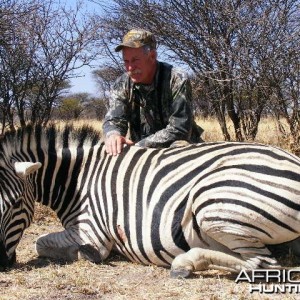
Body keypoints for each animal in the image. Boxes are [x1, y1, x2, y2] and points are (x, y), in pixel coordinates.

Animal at [0, 123, 300, 278]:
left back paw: (186, 263)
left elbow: (40, 243)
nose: (1, 263)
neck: (77, 179)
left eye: (15, 204)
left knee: (263, 265)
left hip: (214, 201)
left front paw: (87, 255)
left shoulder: (92, 231)